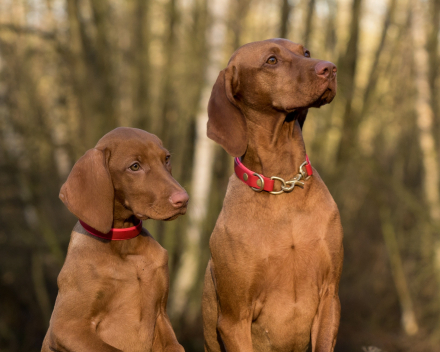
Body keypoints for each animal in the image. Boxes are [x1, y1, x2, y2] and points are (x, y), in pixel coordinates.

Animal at [42, 128, 190, 352]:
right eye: (134, 166)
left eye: (166, 159)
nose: (184, 199)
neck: (125, 246)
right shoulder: (66, 327)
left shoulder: (161, 316)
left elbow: (175, 346)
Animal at [202, 39, 344, 352]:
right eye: (271, 61)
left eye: (305, 52)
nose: (330, 68)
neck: (283, 185)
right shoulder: (234, 319)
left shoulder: (329, 296)